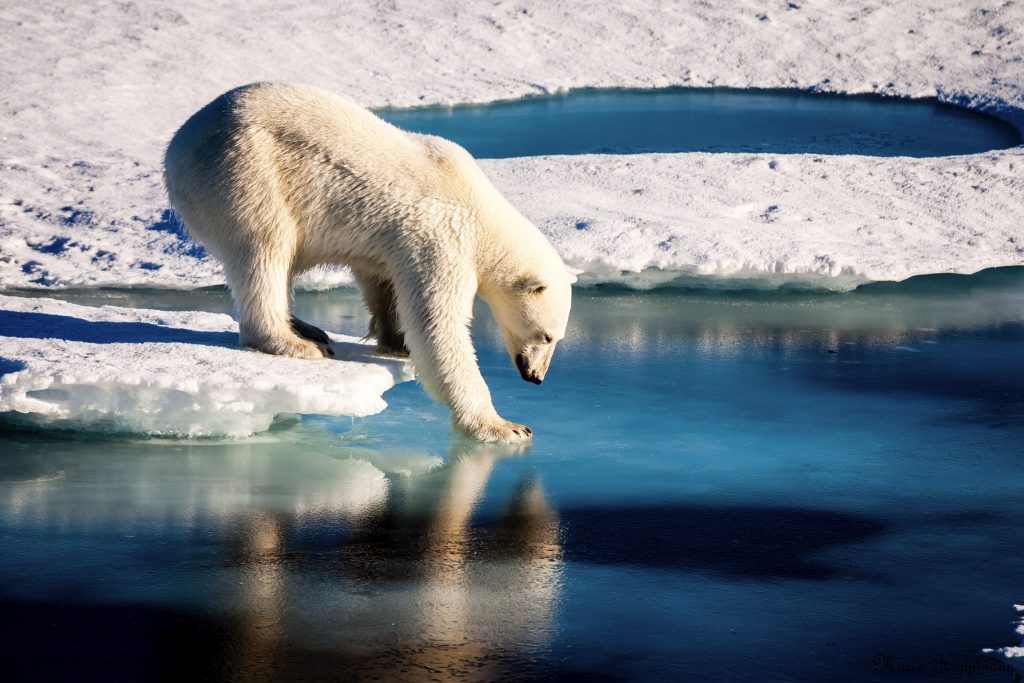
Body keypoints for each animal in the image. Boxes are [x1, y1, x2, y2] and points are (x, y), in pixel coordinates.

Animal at [163, 81, 573, 444]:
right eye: (546, 335)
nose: (536, 376)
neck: (480, 210)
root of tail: (178, 145)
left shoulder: (395, 242)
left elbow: (382, 281)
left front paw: (396, 341)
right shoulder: (442, 239)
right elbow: (438, 327)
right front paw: (505, 427)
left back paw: (307, 328)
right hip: (245, 171)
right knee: (265, 248)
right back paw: (295, 342)